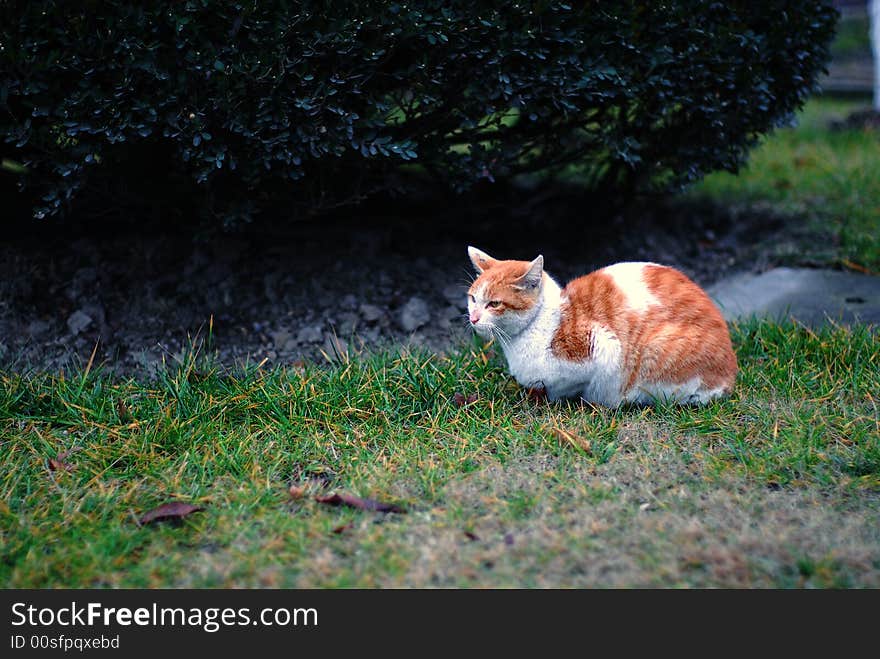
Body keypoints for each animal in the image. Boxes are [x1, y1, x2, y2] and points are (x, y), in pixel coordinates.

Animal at [468, 245, 736, 404]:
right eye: (472, 299)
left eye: (494, 304)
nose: (473, 318)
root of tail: (731, 374)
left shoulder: (602, 347)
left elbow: (573, 384)